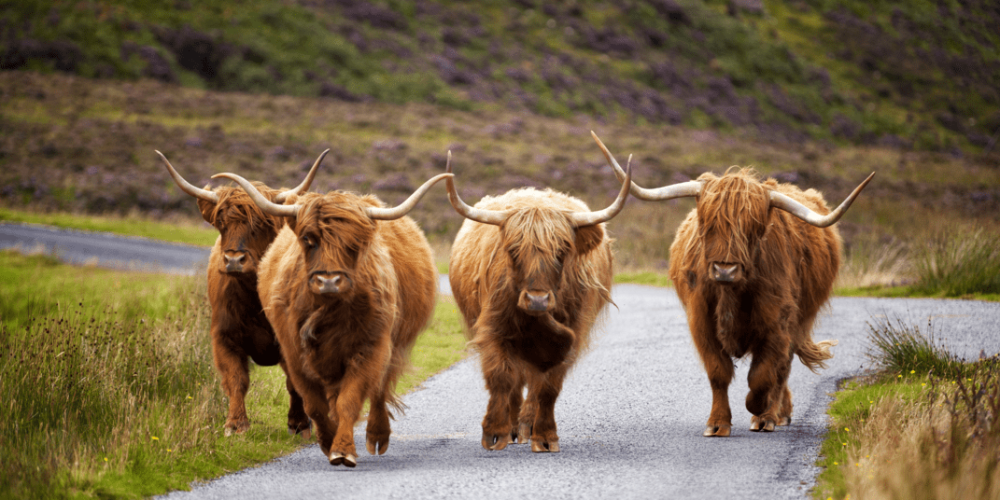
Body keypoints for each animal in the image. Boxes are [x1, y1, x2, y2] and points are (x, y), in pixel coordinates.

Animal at [221, 170, 452, 466]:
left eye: (353, 244)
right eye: (308, 239)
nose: (328, 281)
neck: (330, 311)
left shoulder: (370, 348)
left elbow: (350, 400)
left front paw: (342, 449)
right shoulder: (294, 353)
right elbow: (314, 404)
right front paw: (328, 440)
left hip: (393, 345)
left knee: (379, 390)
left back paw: (377, 435)